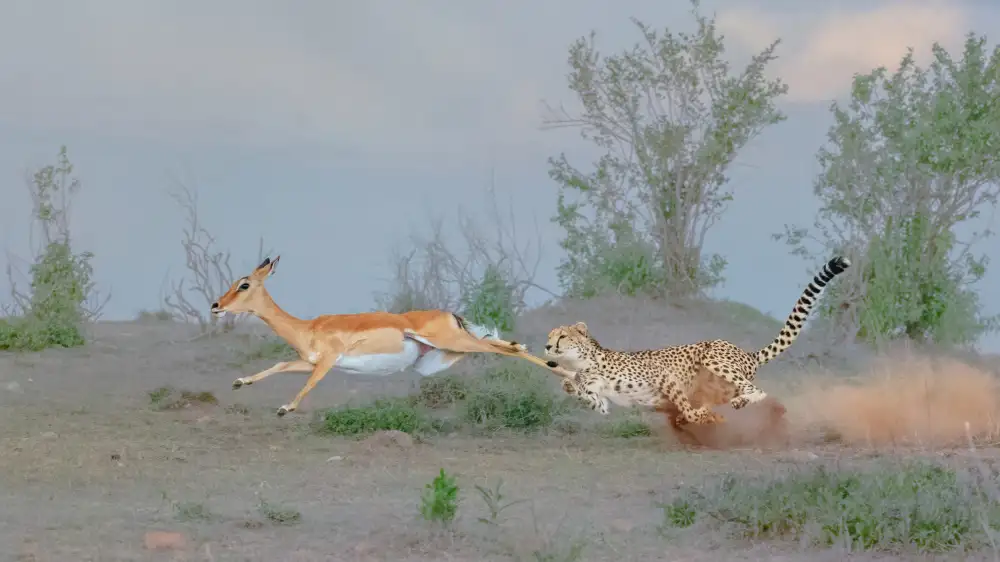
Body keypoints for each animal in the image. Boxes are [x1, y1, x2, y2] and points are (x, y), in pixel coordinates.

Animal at [542, 256, 851, 429]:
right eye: (548, 336)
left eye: (561, 336)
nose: (546, 347)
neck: (585, 362)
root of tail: (746, 353)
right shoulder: (603, 401)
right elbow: (592, 400)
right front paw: (568, 385)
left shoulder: (664, 377)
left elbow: (687, 409)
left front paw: (697, 417)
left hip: (713, 356)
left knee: (759, 391)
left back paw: (735, 403)